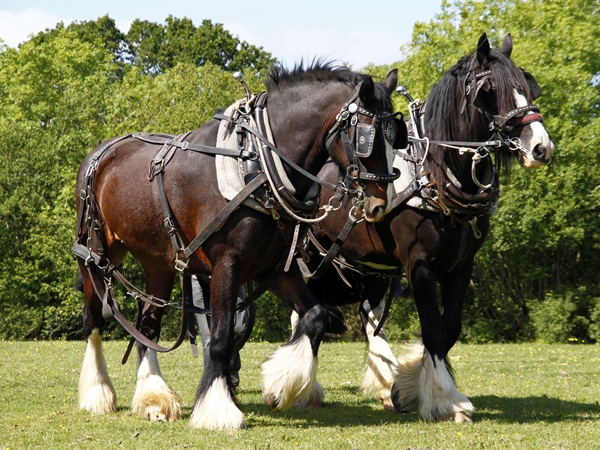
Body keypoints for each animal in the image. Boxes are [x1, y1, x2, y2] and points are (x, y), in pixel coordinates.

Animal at [72, 61, 406, 430]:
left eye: (397, 137)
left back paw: (153, 397)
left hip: (157, 263)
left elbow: (316, 316)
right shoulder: (226, 267)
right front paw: (218, 410)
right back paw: (98, 393)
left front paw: (281, 387)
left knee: (148, 325)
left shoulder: (275, 270)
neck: (256, 164)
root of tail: (102, 152)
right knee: (94, 321)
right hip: (95, 255)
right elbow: (220, 339)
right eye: (366, 138)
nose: (380, 204)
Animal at [300, 33, 552, 420]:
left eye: (528, 87)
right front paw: (445, 401)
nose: (541, 147)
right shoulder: (418, 264)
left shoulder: (461, 265)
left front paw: (407, 386)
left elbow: (450, 329)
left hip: (373, 265)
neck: (436, 175)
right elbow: (433, 330)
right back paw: (299, 386)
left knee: (369, 313)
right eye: (491, 90)